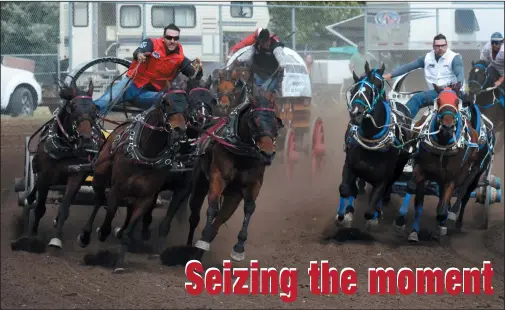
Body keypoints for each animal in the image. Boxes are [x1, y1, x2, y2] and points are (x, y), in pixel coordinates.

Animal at [10, 79, 102, 252]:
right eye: (73, 107)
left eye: (94, 108)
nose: (86, 139)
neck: (65, 148)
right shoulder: (45, 177)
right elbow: (40, 208)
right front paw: (32, 237)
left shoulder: (75, 176)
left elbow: (64, 207)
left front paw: (56, 239)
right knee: (34, 191)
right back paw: (28, 199)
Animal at [78, 84, 188, 272]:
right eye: (166, 102)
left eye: (186, 103)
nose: (179, 129)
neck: (146, 154)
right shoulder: (117, 189)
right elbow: (108, 217)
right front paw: (102, 232)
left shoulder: (146, 198)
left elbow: (129, 231)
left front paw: (120, 263)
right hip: (100, 175)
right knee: (98, 200)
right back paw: (86, 235)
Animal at [334, 62, 414, 230]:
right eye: (353, 90)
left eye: (374, 88)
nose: (355, 113)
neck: (371, 138)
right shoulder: (350, 165)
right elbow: (345, 189)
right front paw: (342, 216)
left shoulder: (384, 176)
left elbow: (371, 208)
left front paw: (374, 217)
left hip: (398, 167)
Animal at [394, 83, 480, 241]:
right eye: (438, 100)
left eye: (456, 101)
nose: (447, 126)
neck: (443, 145)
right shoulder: (421, 167)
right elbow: (411, 187)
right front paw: (400, 221)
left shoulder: (452, 178)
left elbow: (442, 207)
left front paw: (442, 224)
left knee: (457, 194)